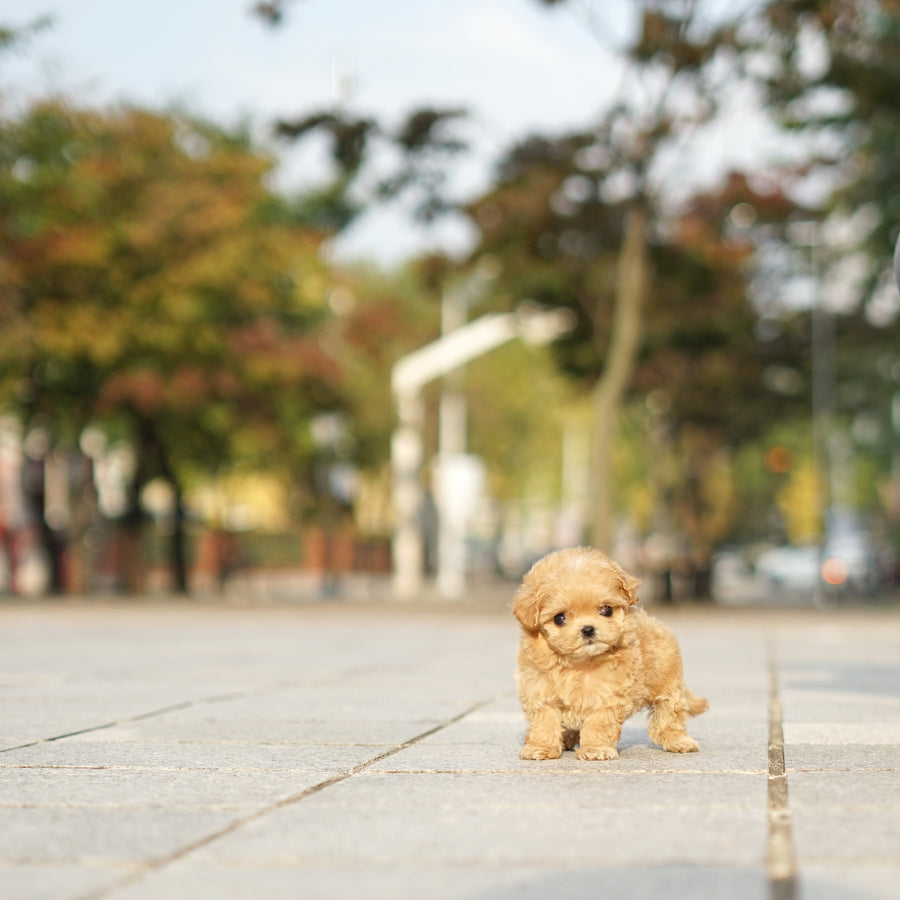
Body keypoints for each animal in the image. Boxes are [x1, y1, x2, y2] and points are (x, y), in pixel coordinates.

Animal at [510, 548, 708, 760]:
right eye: (559, 618)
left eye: (606, 610)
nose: (588, 629)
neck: (579, 663)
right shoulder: (540, 689)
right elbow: (544, 721)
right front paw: (541, 747)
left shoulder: (607, 694)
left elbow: (599, 722)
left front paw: (596, 750)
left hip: (667, 685)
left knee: (670, 714)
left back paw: (678, 741)